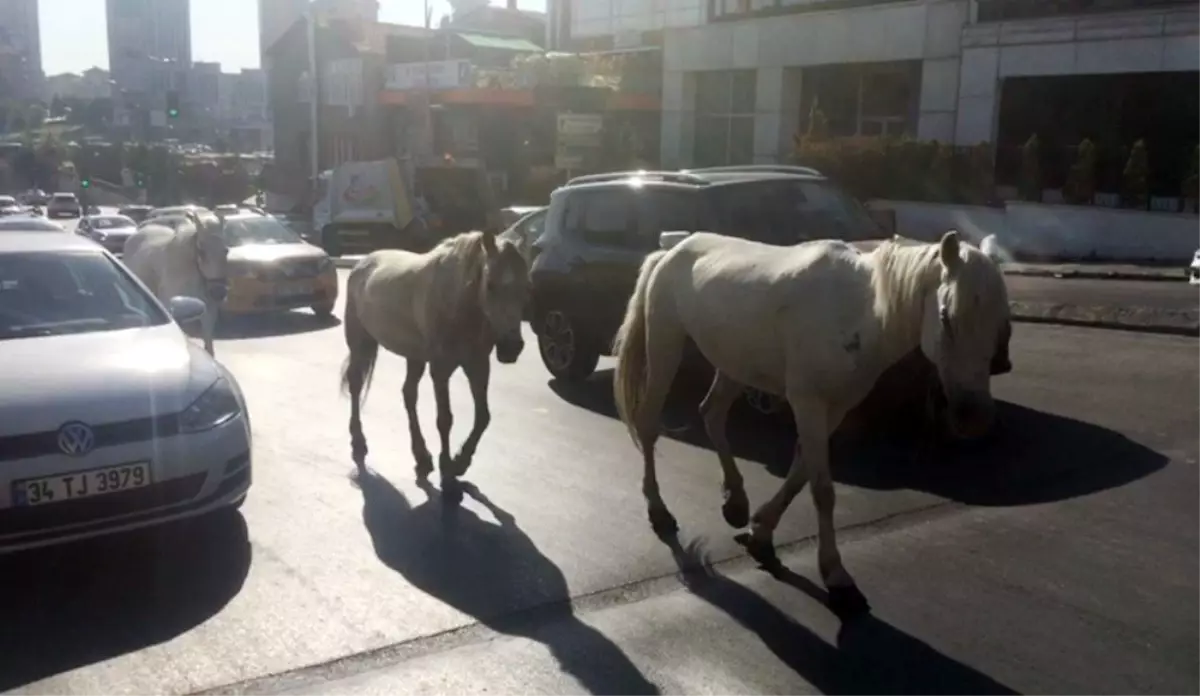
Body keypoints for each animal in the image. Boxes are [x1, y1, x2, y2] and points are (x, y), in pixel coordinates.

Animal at [338, 226, 525, 489]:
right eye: (490, 285)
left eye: (526, 286)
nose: (511, 347)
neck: (459, 303)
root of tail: (361, 263)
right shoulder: (440, 369)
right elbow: (445, 419)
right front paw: (447, 465)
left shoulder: (478, 365)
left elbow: (483, 417)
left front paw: (461, 461)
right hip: (360, 342)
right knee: (356, 385)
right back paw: (359, 442)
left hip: (414, 357)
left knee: (409, 394)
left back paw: (422, 457)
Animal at [614, 228, 1008, 614]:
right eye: (945, 316)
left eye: (1001, 322)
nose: (973, 417)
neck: (861, 312)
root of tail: (671, 248)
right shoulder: (808, 403)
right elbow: (822, 490)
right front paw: (835, 575)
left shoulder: (835, 408)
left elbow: (801, 470)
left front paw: (761, 531)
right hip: (665, 344)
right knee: (648, 424)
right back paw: (659, 511)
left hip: (734, 364)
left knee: (712, 414)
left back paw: (735, 502)